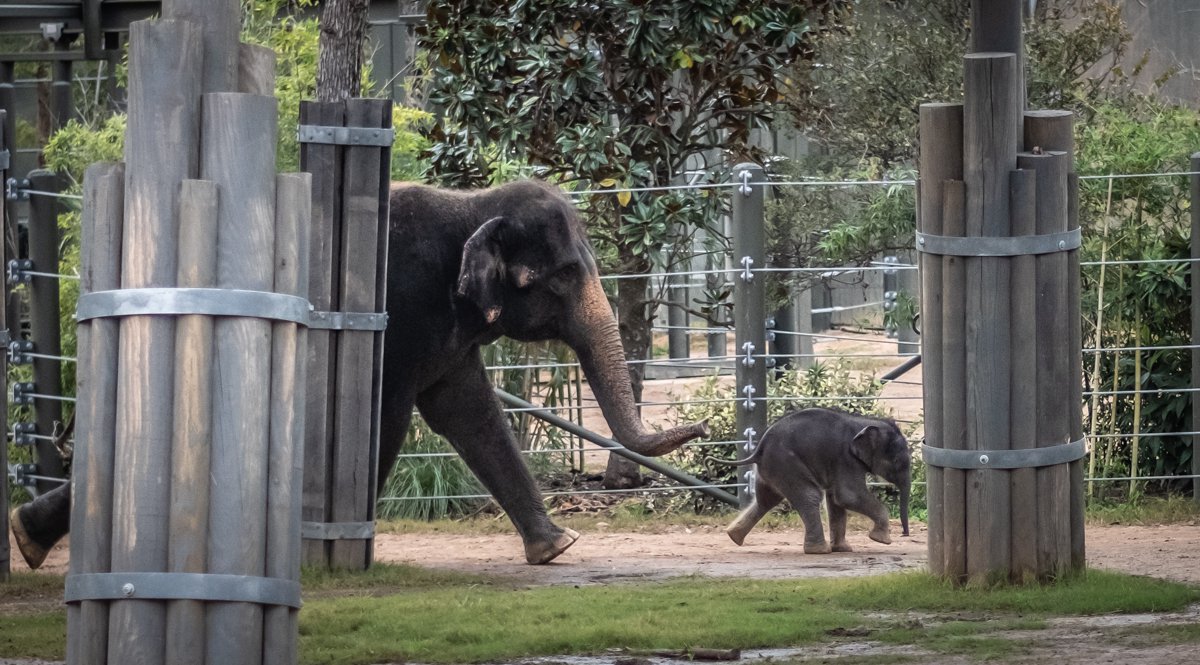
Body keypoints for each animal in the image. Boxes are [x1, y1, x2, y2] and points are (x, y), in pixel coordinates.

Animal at [9, 178, 705, 566]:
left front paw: (557, 548)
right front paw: (331, 560)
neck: (469, 207)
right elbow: (387, 421)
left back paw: (26, 538)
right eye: (559, 277)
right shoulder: (402, 312)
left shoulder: (447, 335)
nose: (700, 427)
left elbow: (468, 412)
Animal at [710, 405, 907, 552]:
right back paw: (820, 551)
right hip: (785, 463)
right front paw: (881, 541)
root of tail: (758, 449)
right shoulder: (846, 458)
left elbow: (836, 500)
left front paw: (843, 549)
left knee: (766, 501)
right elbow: (848, 496)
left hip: (772, 468)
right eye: (898, 462)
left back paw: (734, 538)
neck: (864, 421)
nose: (905, 535)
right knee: (809, 496)